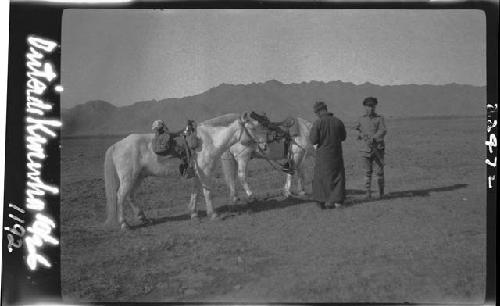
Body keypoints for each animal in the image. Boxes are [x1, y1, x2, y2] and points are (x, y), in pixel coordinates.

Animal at [102, 112, 270, 230]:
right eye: (253, 127)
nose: (264, 146)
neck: (210, 141)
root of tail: (117, 145)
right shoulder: (205, 173)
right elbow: (207, 192)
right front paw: (213, 214)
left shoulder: (197, 174)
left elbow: (195, 192)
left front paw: (194, 214)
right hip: (128, 177)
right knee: (120, 196)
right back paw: (124, 224)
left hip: (138, 177)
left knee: (130, 196)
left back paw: (143, 217)